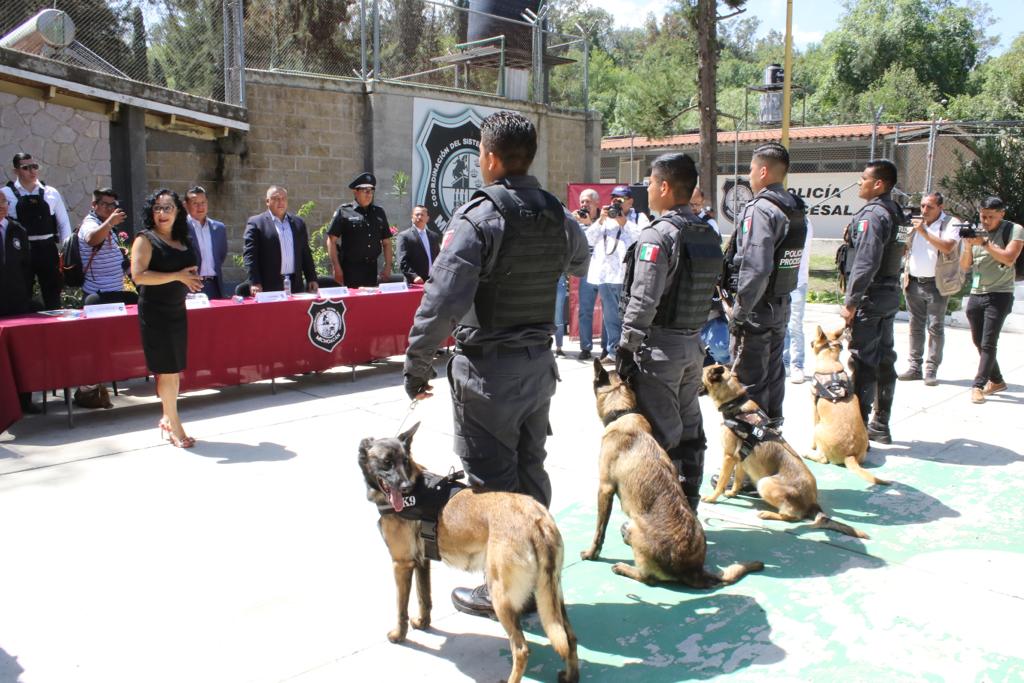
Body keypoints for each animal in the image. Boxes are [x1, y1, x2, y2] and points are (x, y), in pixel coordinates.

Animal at [358, 421, 581, 683]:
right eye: (387, 462)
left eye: (405, 460)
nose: (405, 487)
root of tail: (537, 519)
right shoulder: (422, 561)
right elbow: (425, 598)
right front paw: (423, 622)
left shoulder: (401, 564)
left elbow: (400, 607)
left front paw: (398, 634)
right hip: (553, 593)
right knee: (569, 638)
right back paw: (570, 676)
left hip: (500, 595)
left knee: (521, 649)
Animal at [581, 360, 765, 589]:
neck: (623, 412)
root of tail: (695, 571)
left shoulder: (605, 489)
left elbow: (599, 530)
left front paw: (591, 553)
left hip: (636, 528)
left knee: (648, 579)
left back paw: (624, 568)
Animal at [700, 362, 868, 540]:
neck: (736, 404)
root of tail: (813, 503)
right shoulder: (740, 459)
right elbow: (738, 479)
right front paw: (732, 492)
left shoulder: (728, 456)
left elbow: (721, 482)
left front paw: (712, 498)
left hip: (764, 483)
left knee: (792, 517)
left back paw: (768, 514)